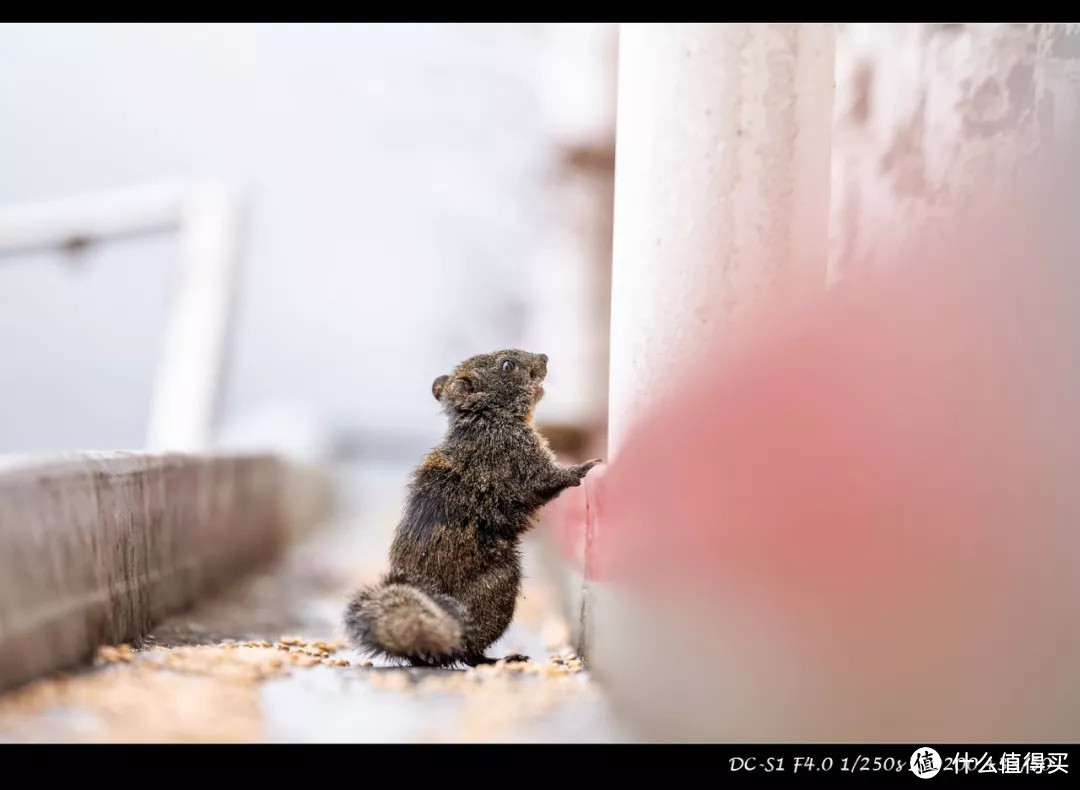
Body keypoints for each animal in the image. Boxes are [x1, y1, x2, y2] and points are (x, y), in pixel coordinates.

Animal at [343, 350, 600, 665]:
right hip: (497, 587)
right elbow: (546, 480)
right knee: (467, 652)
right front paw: (584, 468)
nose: (544, 358)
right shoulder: (515, 453)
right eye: (507, 366)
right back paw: (496, 659)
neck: (485, 419)